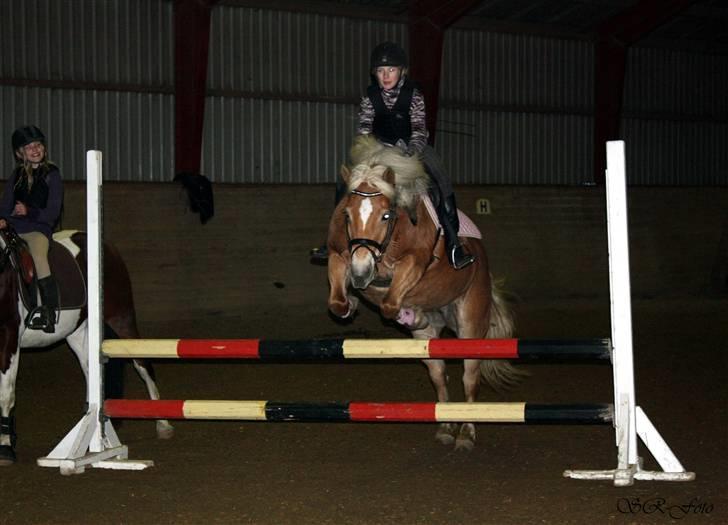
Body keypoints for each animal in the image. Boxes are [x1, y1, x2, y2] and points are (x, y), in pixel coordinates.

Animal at [0, 228, 175, 462]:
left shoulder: (8, 338)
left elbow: (5, 395)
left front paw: (5, 447)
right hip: (78, 332)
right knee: (90, 372)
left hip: (121, 317)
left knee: (143, 365)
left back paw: (162, 424)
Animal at [326, 136, 524, 450]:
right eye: (346, 215)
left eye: (385, 215)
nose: (358, 275)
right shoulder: (340, 255)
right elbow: (338, 300)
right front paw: (352, 304)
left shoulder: (416, 262)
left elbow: (390, 302)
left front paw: (404, 310)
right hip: (428, 339)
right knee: (439, 374)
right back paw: (445, 426)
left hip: (470, 322)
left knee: (470, 376)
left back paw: (466, 433)